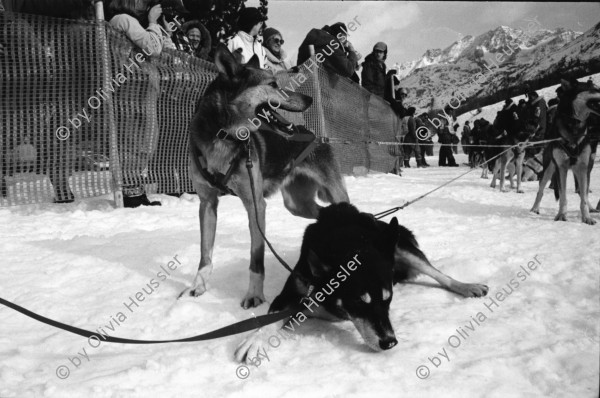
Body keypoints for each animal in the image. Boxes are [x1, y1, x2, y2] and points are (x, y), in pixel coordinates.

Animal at [179, 45, 346, 308]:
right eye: (273, 84)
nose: (309, 99)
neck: (224, 135)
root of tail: (314, 135)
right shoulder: (207, 203)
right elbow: (205, 253)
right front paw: (199, 285)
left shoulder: (255, 205)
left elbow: (256, 259)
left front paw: (254, 295)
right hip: (296, 204)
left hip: (334, 192)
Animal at [233, 204, 488, 362]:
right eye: (358, 301)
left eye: (388, 299)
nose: (389, 343)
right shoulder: (291, 292)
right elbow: (269, 319)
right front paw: (255, 339)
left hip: (401, 247)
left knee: (440, 275)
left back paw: (466, 286)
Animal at [528, 79, 600, 225]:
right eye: (593, 89)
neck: (574, 127)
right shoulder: (561, 167)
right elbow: (562, 196)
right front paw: (561, 215)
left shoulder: (583, 167)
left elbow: (584, 197)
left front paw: (587, 217)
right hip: (548, 169)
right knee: (540, 190)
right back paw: (534, 208)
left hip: (580, 170)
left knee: (582, 192)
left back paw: (590, 208)